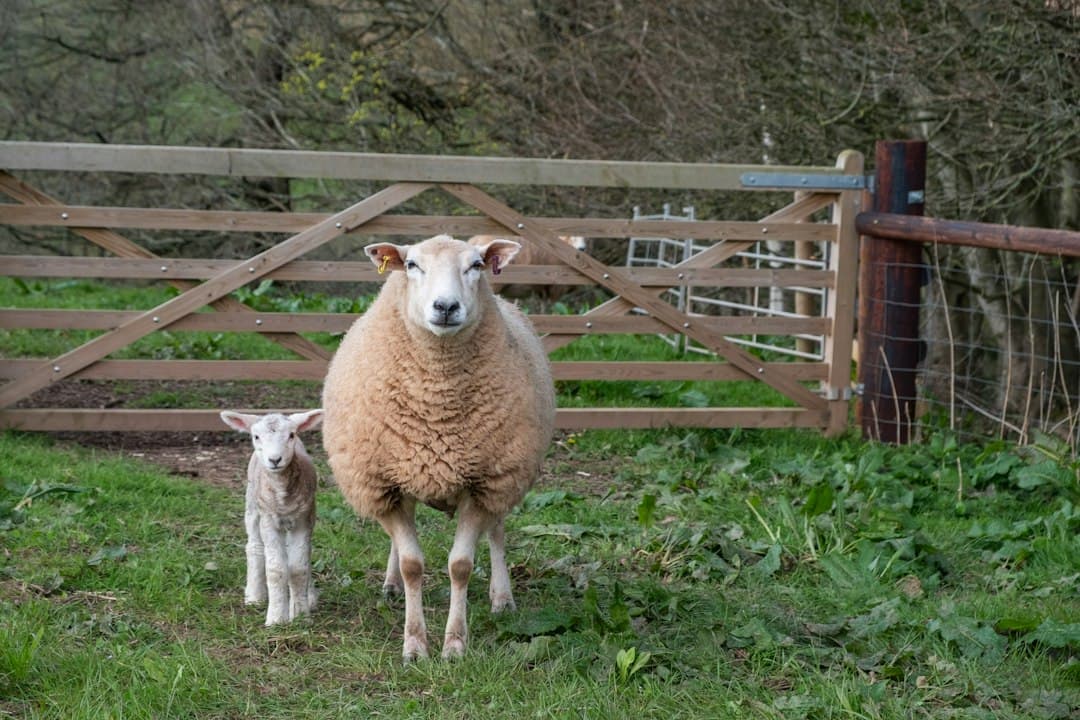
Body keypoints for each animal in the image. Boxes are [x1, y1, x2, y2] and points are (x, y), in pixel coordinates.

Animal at [219, 409, 324, 626]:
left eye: (291, 435)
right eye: (256, 436)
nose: (275, 460)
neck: (282, 495)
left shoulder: (304, 519)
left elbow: (298, 568)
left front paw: (300, 614)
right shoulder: (268, 520)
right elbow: (276, 571)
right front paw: (276, 619)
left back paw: (308, 598)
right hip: (252, 505)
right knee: (254, 548)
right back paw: (254, 596)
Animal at [321, 234, 556, 662]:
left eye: (476, 265)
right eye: (412, 265)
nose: (446, 307)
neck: (437, 401)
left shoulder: (485, 483)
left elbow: (461, 565)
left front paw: (455, 645)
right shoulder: (385, 484)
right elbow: (413, 563)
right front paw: (414, 644)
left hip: (506, 474)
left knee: (497, 533)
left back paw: (502, 598)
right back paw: (391, 585)